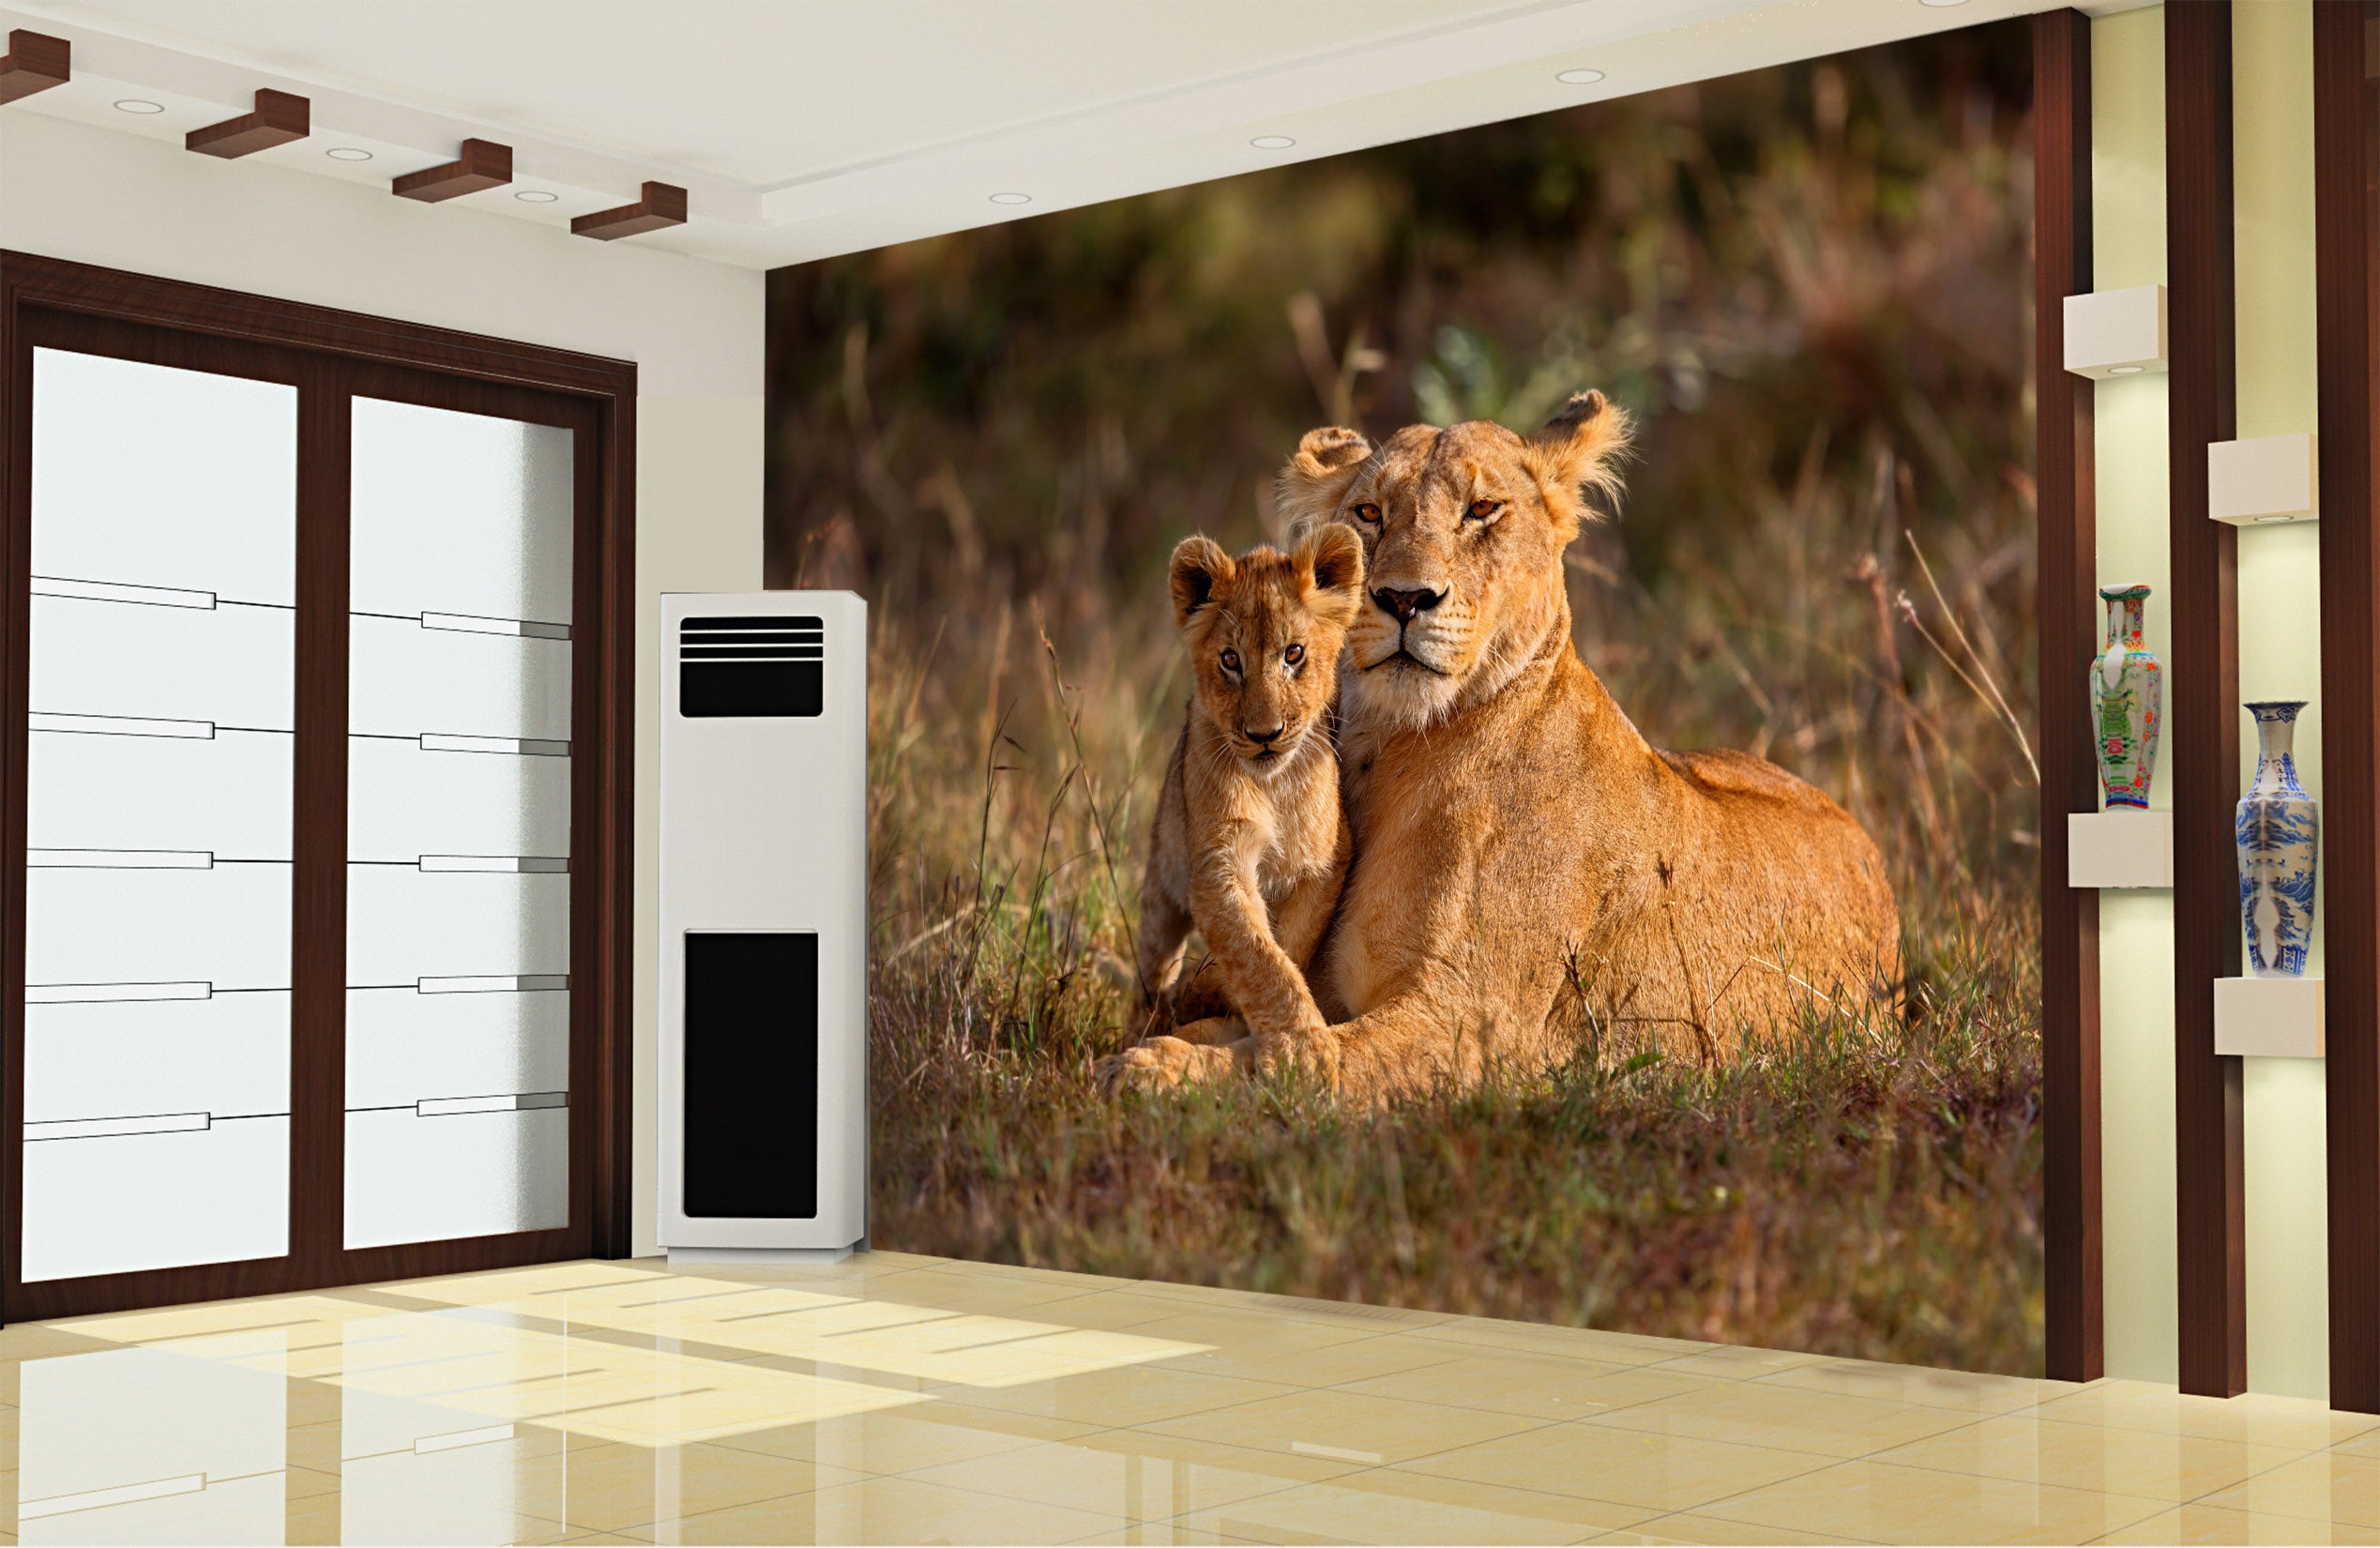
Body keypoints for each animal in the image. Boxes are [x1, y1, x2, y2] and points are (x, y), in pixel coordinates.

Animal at [1099, 529, 1365, 1092]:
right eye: (1229, 660)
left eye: (1293, 654)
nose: (1265, 735)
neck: (1275, 785)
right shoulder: (1218, 864)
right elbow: (1256, 953)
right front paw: (1303, 1051)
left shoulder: (1324, 864)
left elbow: (1287, 946)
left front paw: (1234, 1001)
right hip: (1161, 891)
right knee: (1152, 972)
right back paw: (1145, 1023)